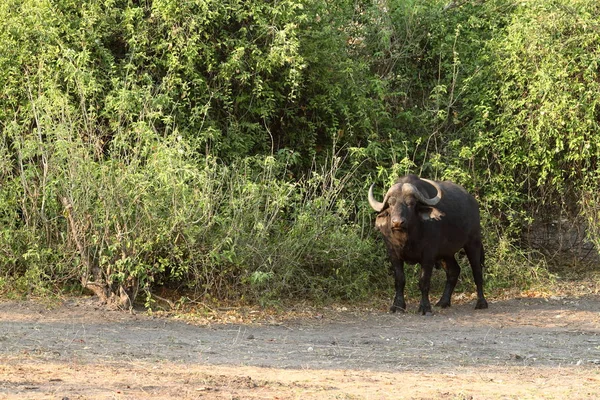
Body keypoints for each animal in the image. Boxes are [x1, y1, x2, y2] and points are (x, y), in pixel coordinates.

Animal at [368, 173, 490, 314]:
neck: (408, 238)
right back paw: (443, 302)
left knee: (477, 272)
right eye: (391, 203)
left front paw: (425, 307)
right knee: (454, 271)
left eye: (411, 203)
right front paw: (398, 306)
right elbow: (399, 280)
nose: (397, 222)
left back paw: (481, 302)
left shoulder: (428, 255)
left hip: (473, 243)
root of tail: (473, 203)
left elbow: (424, 281)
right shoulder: (393, 254)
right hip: (446, 253)